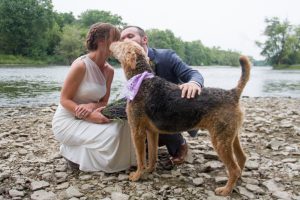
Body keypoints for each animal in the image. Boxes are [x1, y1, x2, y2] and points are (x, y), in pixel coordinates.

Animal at [110, 40, 251, 195]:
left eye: (122, 43)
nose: (113, 42)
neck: (142, 80)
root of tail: (233, 93)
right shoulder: (151, 132)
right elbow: (152, 155)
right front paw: (149, 170)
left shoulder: (137, 130)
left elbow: (140, 157)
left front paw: (137, 175)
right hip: (231, 136)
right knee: (242, 158)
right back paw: (236, 182)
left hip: (221, 140)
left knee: (234, 168)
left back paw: (225, 190)